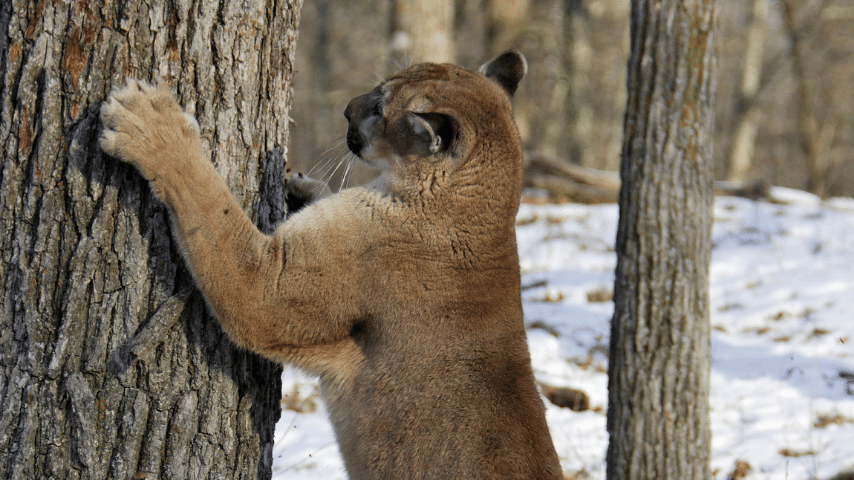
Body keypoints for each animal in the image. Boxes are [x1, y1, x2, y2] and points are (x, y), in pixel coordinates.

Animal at [100, 50, 564, 478]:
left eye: (380, 109)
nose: (347, 109)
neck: (484, 211)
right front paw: (298, 185)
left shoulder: (267, 286)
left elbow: (209, 204)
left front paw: (149, 125)